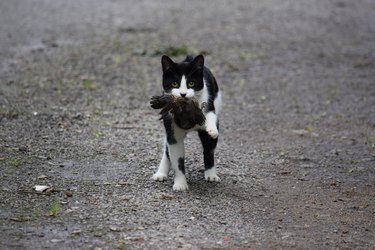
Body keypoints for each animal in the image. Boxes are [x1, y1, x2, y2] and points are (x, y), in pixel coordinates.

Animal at [152, 54, 222, 190]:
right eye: (174, 83)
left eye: (191, 83)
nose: (183, 94)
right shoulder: (172, 127)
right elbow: (177, 159)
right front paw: (180, 184)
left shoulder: (208, 104)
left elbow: (210, 116)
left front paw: (212, 130)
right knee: (167, 149)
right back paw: (161, 173)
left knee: (209, 150)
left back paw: (211, 175)